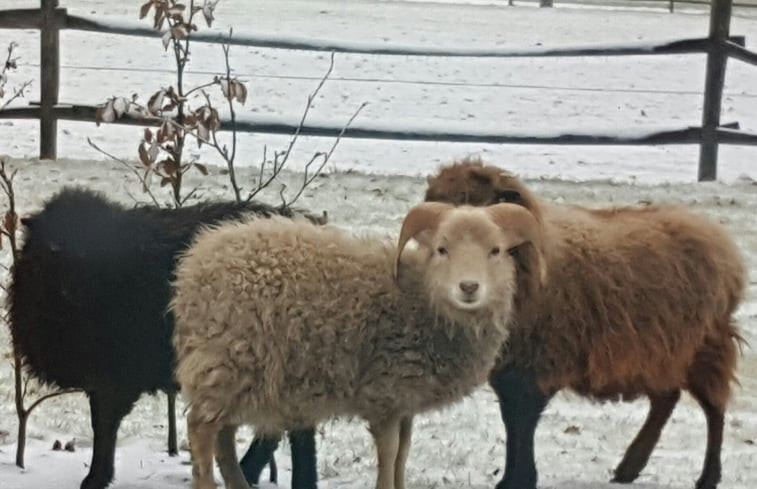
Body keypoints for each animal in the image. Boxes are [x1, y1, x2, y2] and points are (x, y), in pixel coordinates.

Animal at [7, 189, 314, 488]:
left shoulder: (114, 376)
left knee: (299, 431)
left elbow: (103, 426)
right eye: (53, 247)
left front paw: (95, 479)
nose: (71, 290)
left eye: (95, 247)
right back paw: (248, 472)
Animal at [171, 202, 544, 488]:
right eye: (442, 249)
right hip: (225, 360)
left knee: (223, 436)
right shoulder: (384, 395)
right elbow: (390, 453)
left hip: (237, 374)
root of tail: (196, 262)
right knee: (201, 430)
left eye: (495, 251)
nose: (468, 287)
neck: (418, 298)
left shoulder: (404, 400)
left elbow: (403, 453)